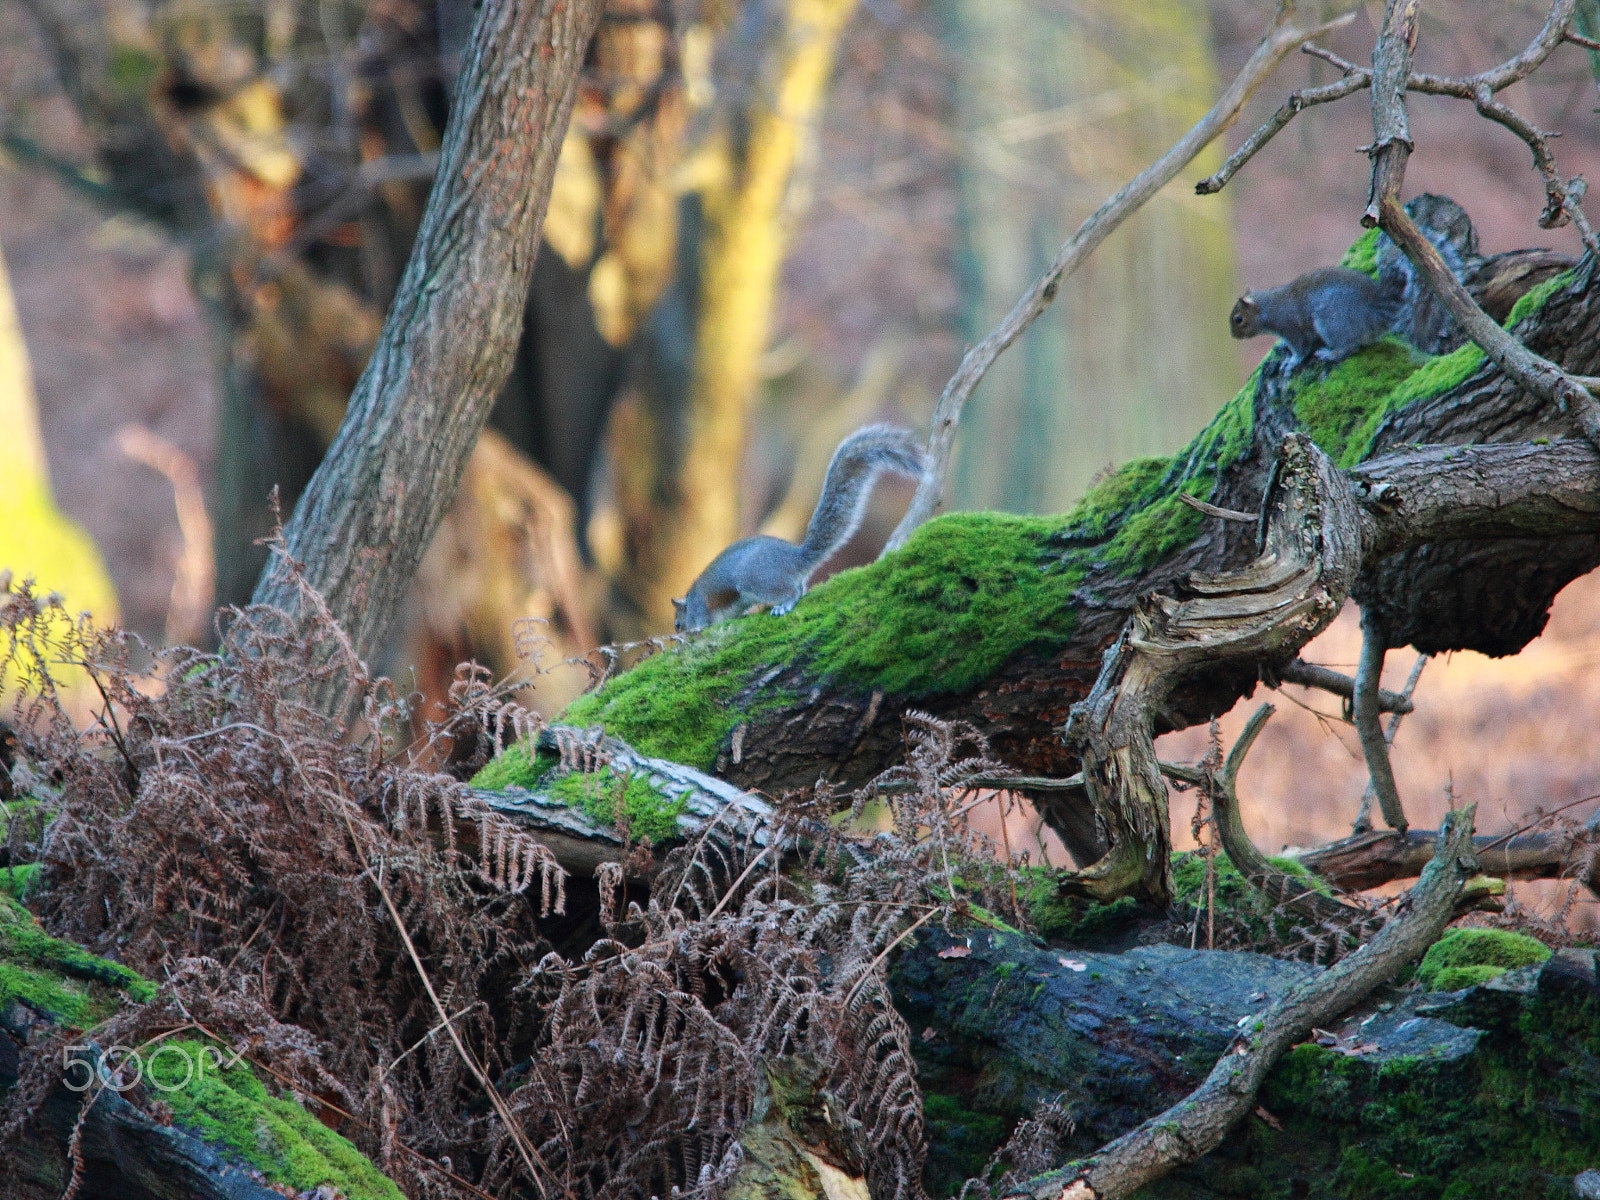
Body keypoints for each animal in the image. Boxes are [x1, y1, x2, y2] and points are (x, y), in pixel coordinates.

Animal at [673, 424, 925, 633]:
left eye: (677, 623)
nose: (679, 632)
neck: (691, 598)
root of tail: (795, 559)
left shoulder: (700, 607)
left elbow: (703, 622)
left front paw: (695, 632)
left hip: (757, 579)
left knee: (791, 592)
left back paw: (783, 605)